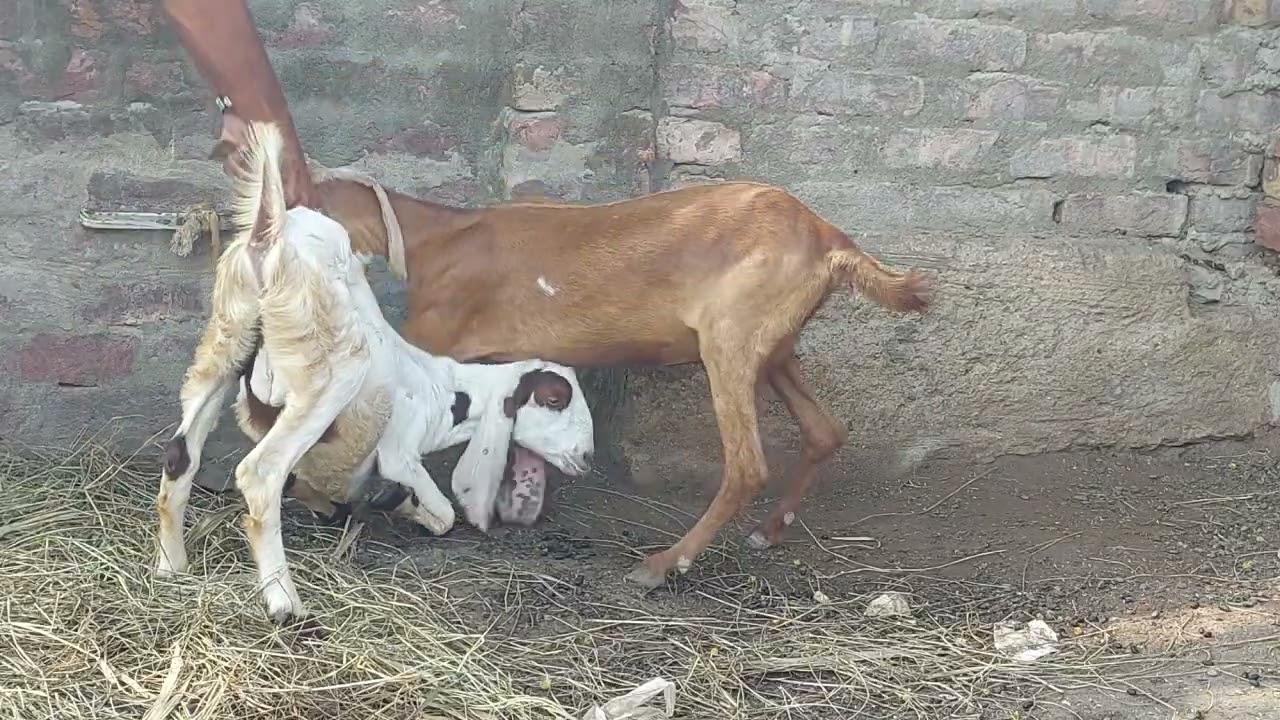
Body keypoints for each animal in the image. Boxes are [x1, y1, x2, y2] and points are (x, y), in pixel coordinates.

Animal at [154, 121, 595, 624]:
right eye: (555, 398)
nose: (586, 456)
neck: (444, 388)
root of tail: (271, 233)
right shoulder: (400, 448)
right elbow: (442, 511)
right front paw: (405, 505)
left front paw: (384, 503)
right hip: (328, 372)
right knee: (261, 474)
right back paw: (284, 601)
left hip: (224, 343)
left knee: (180, 455)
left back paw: (171, 568)